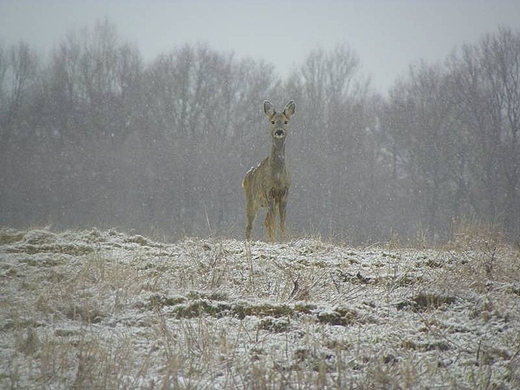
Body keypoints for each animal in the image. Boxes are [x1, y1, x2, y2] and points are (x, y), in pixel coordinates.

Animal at [242, 100, 294, 241]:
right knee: (249, 225)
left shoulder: (285, 193)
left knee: (265, 221)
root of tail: (245, 178)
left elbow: (282, 222)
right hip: (251, 200)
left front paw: (284, 240)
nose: (279, 131)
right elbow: (273, 223)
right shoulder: (269, 191)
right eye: (272, 121)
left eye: (286, 121)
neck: (277, 177)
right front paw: (275, 241)